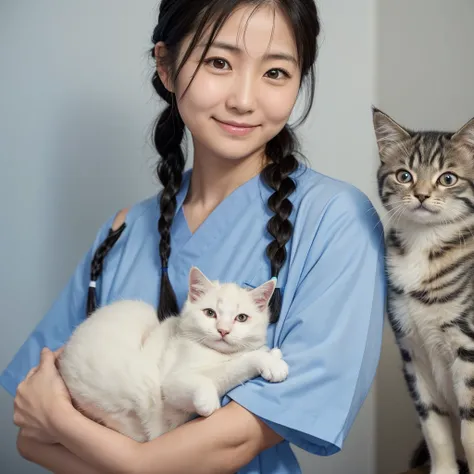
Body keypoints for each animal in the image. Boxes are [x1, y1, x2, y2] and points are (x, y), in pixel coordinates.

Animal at [59, 266, 288, 440]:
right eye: (210, 313)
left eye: (241, 318)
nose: (223, 330)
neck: (217, 354)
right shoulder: (170, 384)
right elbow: (213, 375)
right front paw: (207, 399)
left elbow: (237, 363)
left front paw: (271, 355)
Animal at [372, 107, 474, 474]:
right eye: (404, 175)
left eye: (448, 178)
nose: (421, 195)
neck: (424, 244)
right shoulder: (412, 351)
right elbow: (434, 425)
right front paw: (443, 469)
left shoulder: (468, 348)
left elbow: (470, 431)